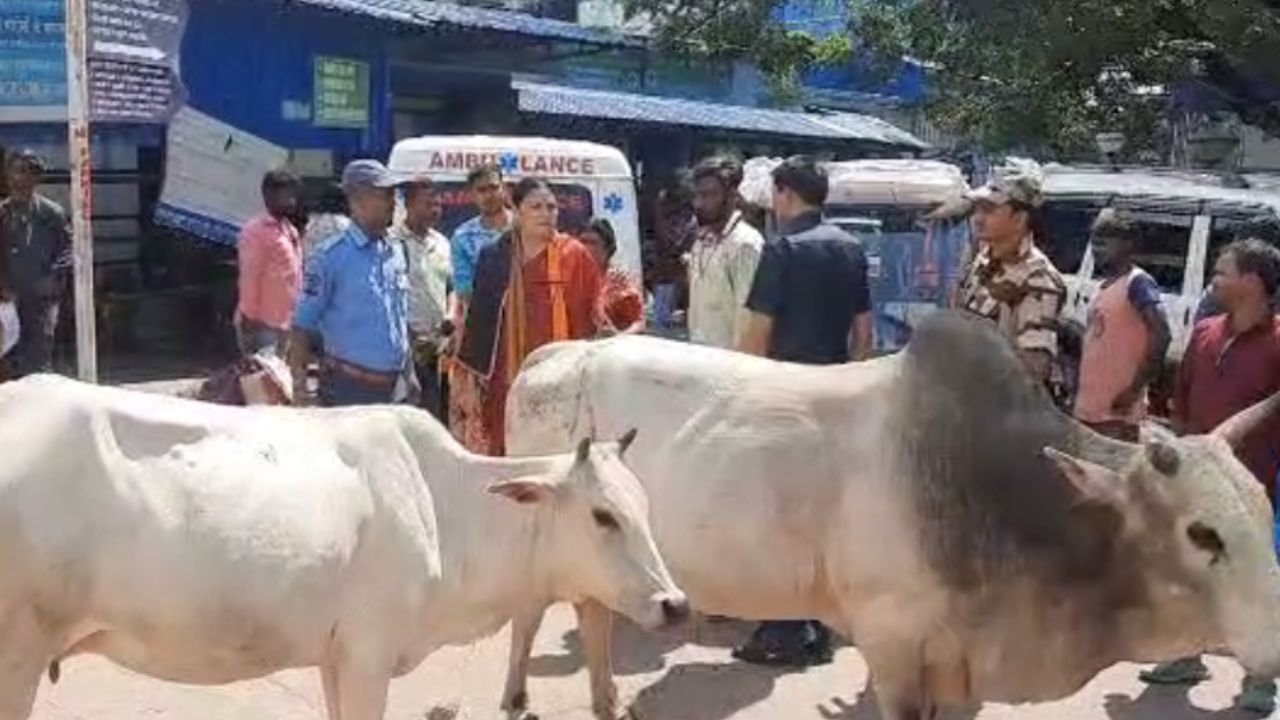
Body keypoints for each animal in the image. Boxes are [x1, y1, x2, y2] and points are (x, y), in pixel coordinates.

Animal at [0, 371, 686, 717]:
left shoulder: (335, 657)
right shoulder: (366, 655)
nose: (675, 604)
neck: (446, 509)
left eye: (644, 507)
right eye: (603, 516)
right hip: (18, 653)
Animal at [504, 311, 1280, 717]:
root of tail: (565, 350)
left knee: (594, 616)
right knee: (532, 616)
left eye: (1264, 511)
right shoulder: (893, 640)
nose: (1274, 646)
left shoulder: (965, 668)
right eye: (1202, 533)